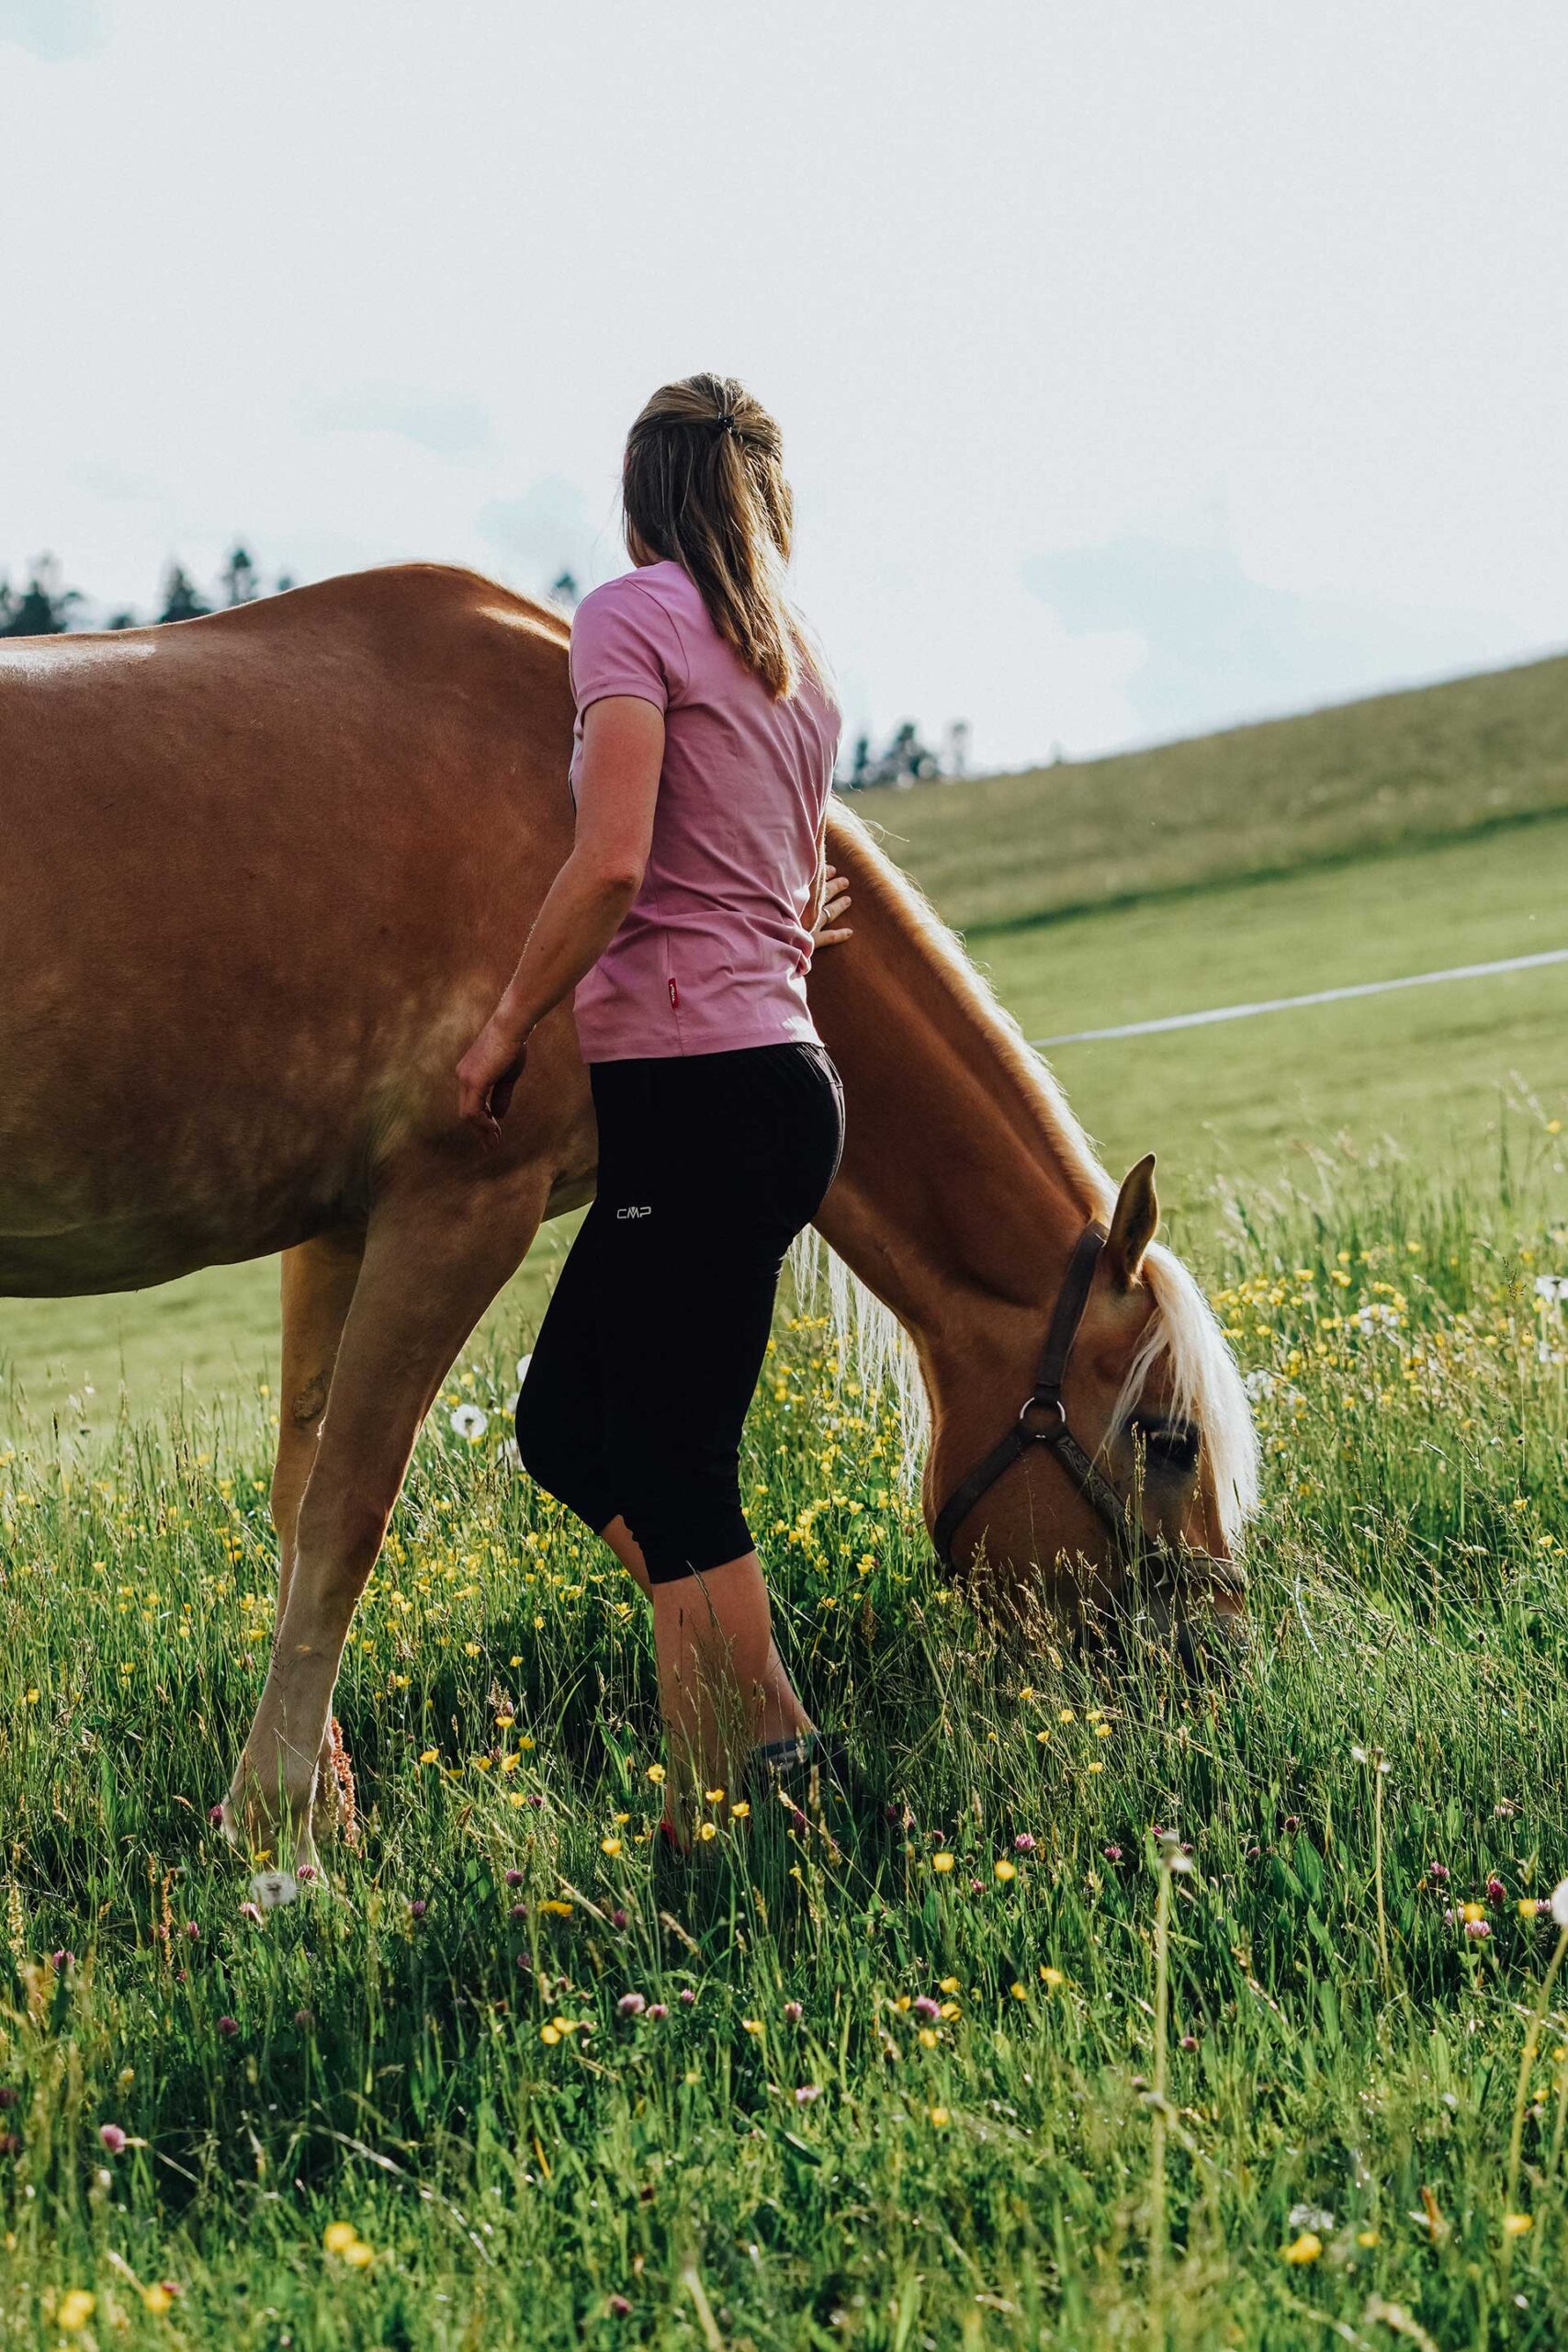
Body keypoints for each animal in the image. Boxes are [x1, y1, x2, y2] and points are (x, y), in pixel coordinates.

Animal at [0, 564, 1257, 1866]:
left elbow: (310, 1508)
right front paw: (275, 1840)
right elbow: (359, 1513)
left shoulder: (338, 1222)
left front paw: (321, 1808)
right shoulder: (458, 1205)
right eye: (1170, 1437)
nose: (1221, 1659)